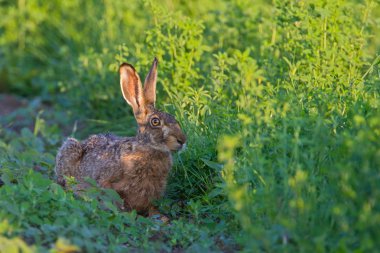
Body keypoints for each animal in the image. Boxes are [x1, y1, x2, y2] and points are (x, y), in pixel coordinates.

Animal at [55, 57, 187, 215]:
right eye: (155, 122)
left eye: (174, 118)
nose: (182, 140)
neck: (147, 148)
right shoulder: (106, 182)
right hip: (70, 149)